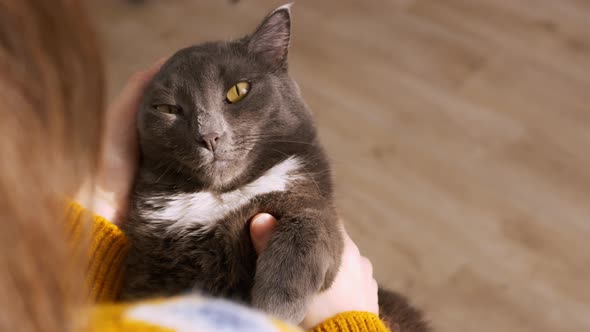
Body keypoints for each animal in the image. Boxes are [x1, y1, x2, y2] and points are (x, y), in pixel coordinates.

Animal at [122, 3, 432, 330]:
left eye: (238, 91)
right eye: (168, 109)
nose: (209, 136)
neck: (221, 196)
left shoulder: (310, 195)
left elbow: (308, 227)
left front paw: (275, 308)